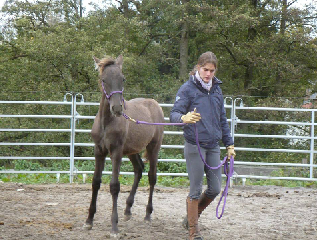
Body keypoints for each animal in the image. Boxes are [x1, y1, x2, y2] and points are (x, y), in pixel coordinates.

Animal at [82, 54, 164, 236]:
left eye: (123, 79)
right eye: (103, 80)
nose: (117, 108)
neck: (107, 122)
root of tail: (155, 104)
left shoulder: (116, 152)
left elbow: (114, 186)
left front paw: (114, 227)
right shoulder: (99, 151)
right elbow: (95, 182)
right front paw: (89, 221)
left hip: (153, 148)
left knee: (152, 177)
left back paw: (147, 214)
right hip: (132, 151)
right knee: (139, 169)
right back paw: (127, 210)